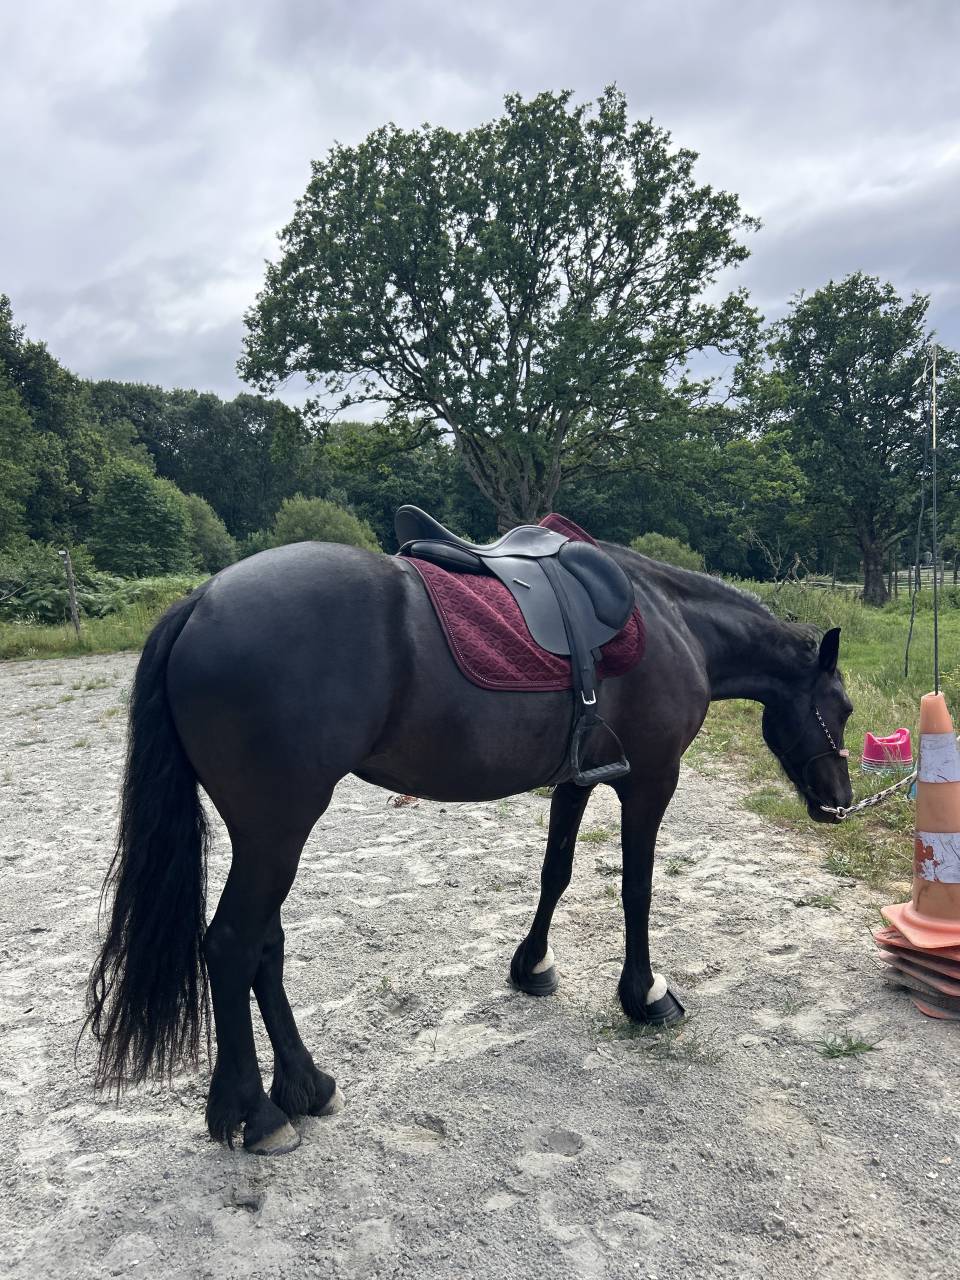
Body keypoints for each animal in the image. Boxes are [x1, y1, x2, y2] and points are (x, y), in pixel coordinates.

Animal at [85, 538, 853, 1155]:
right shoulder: (651, 780)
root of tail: (201, 601)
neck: (672, 623)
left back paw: (305, 1086)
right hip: (277, 829)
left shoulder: (577, 778)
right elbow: (636, 888)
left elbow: (556, 870)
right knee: (231, 946)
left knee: (263, 947)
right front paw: (644, 995)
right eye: (841, 707)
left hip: (268, 835)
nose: (838, 801)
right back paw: (257, 1115)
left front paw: (532, 966)